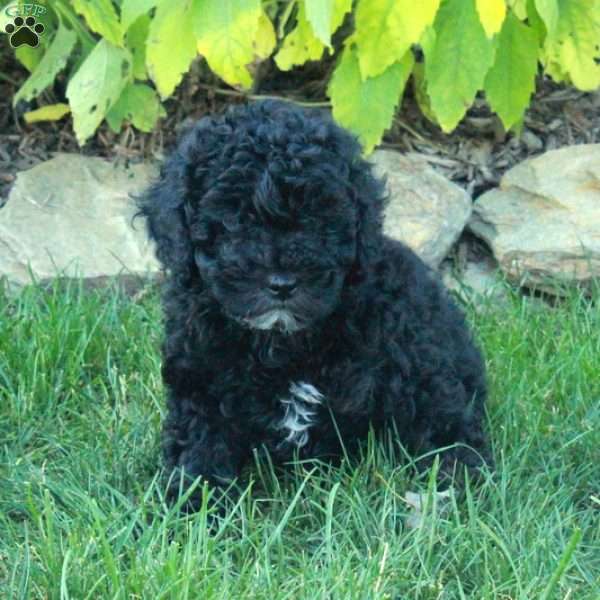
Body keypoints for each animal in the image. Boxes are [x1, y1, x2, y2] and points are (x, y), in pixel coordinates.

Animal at [141, 101, 492, 508]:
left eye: (319, 219)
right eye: (233, 221)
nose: (281, 283)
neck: (280, 341)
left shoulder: (410, 347)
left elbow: (438, 411)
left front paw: (457, 471)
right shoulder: (199, 377)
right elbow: (200, 441)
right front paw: (193, 501)